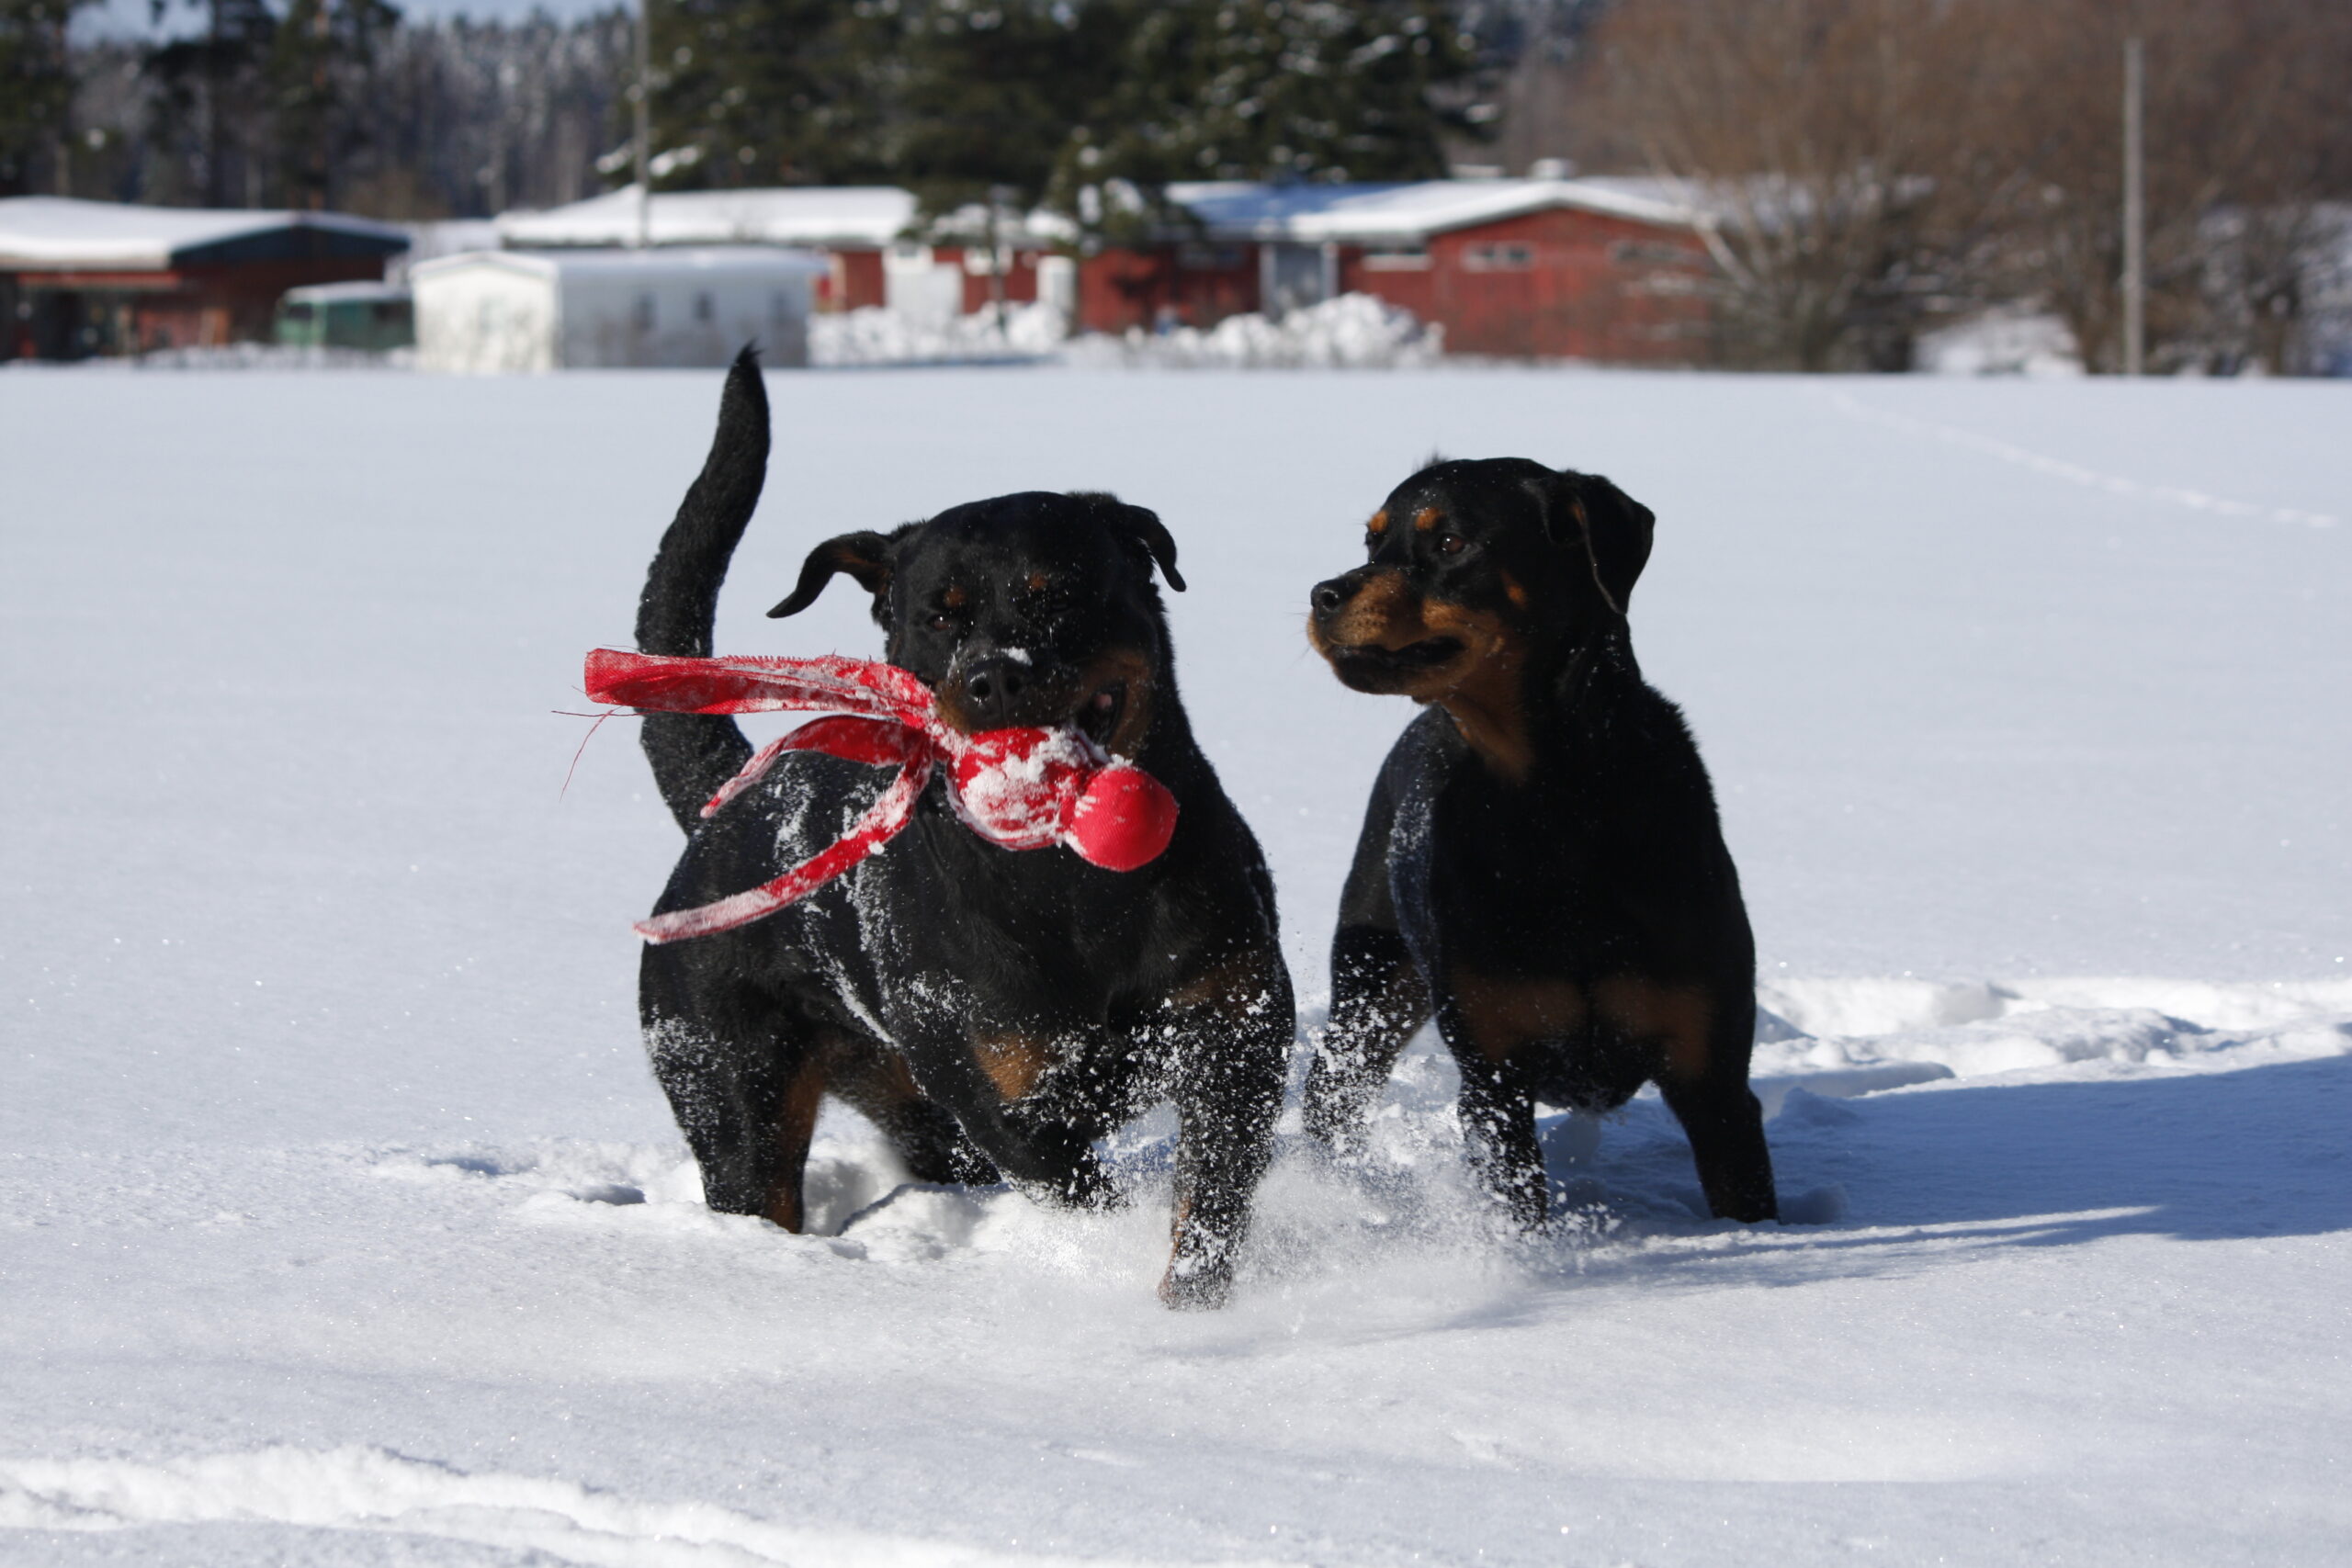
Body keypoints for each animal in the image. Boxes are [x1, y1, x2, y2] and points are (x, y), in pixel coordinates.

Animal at [630, 355, 1288, 1316]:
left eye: (1059, 596)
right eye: (940, 615)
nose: (993, 678)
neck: (1074, 887)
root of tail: (732, 805)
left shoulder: (1234, 1023)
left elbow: (1212, 1193)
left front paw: (1192, 1301)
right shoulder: (997, 1092)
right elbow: (1074, 1182)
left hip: (903, 1096)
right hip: (727, 1072)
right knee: (756, 1175)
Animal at [1298, 453, 1769, 1222]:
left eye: (1451, 542)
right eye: (1372, 540)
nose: (1324, 592)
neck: (1554, 802)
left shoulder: (1716, 1080)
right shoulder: (1494, 1082)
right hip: (1373, 972)